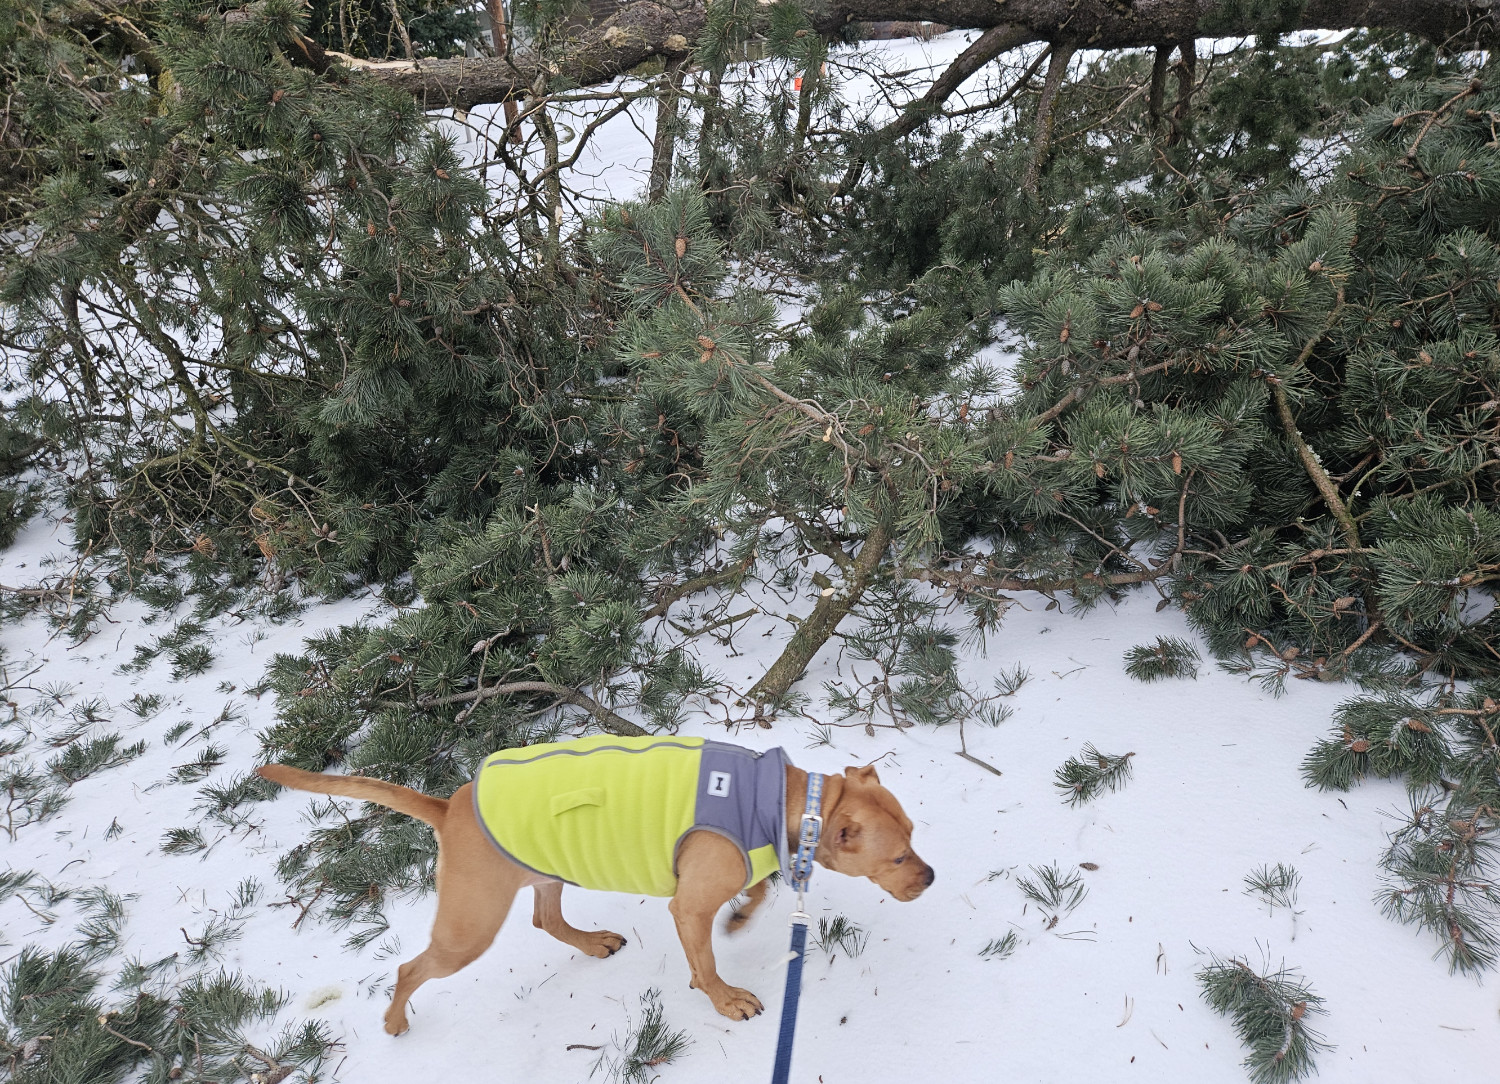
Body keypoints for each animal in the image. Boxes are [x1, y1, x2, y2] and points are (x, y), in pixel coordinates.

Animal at [264, 746, 930, 1037]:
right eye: (898, 856)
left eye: (914, 836)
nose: (930, 877)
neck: (792, 803)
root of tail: (449, 809)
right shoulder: (688, 903)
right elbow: (707, 960)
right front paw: (723, 999)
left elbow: (752, 898)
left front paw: (741, 917)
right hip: (468, 929)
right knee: (410, 969)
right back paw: (395, 1019)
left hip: (546, 871)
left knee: (547, 920)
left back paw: (591, 943)